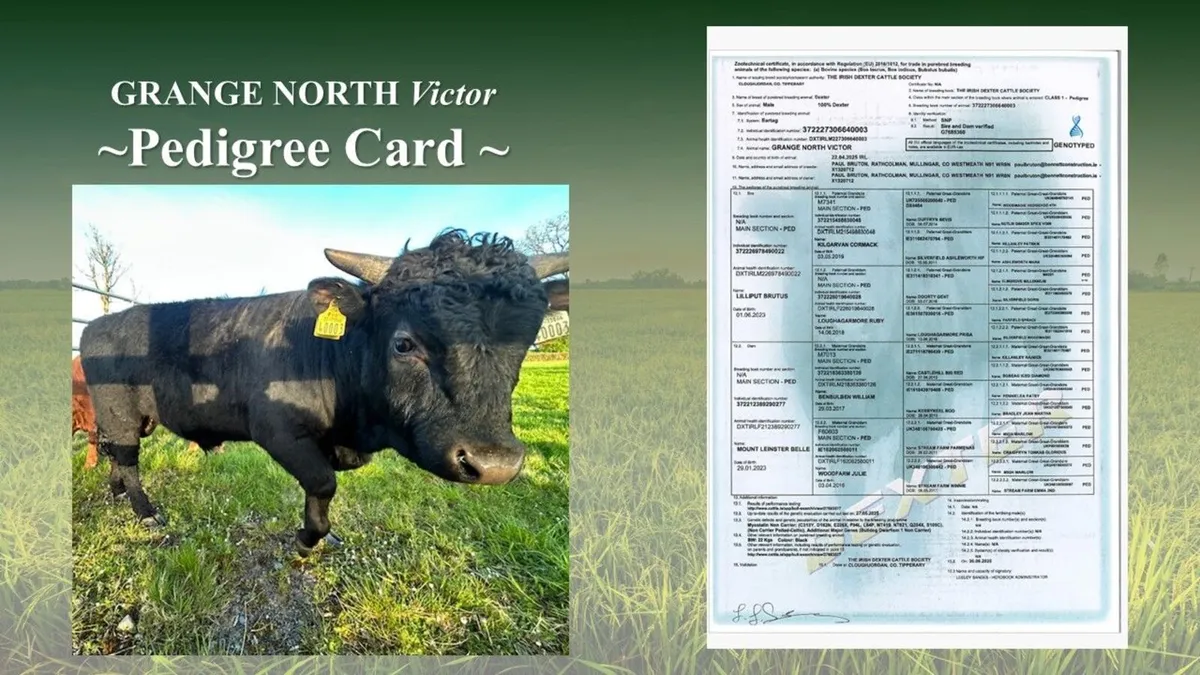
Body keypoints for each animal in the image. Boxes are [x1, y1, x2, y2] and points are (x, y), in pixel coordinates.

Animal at [79, 229, 569, 557]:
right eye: (403, 343)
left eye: (524, 343)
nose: (493, 464)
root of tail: (99, 323)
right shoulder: (279, 430)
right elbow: (322, 483)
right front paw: (307, 537)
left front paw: (323, 533)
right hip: (121, 414)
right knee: (128, 460)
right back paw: (145, 510)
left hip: (132, 420)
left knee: (117, 456)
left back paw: (116, 493)